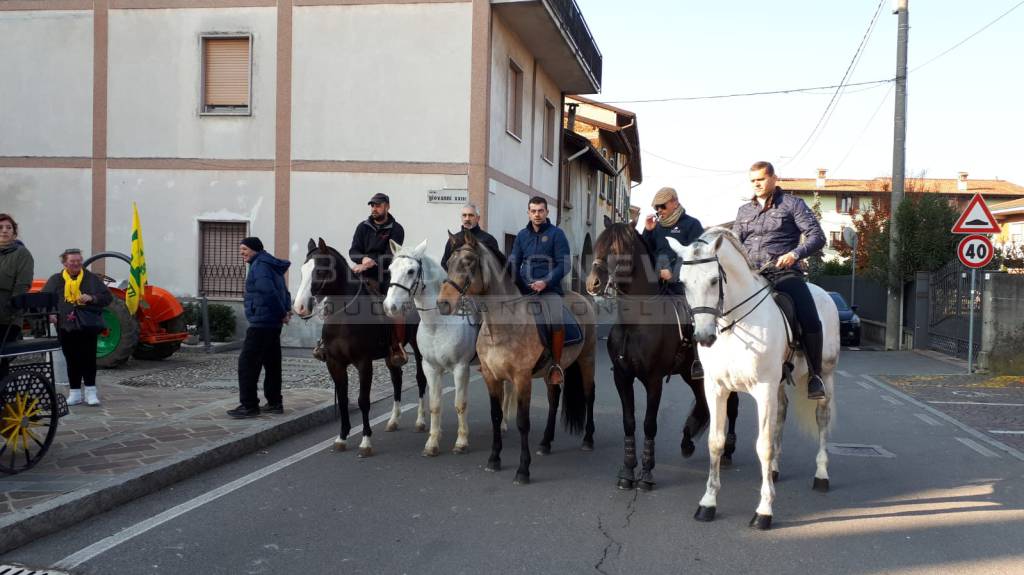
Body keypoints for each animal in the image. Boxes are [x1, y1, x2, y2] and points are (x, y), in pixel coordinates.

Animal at [382, 239, 481, 454]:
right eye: (390, 269)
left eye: (411, 271)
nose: (390, 307)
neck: (439, 323)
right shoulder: (430, 367)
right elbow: (435, 404)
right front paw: (432, 443)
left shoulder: (460, 368)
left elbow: (460, 404)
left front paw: (461, 442)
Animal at [667, 228, 835, 527]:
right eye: (683, 283)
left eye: (714, 280)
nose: (704, 337)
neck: (735, 325)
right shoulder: (716, 389)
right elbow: (716, 442)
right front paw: (708, 503)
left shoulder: (763, 389)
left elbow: (763, 445)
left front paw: (764, 510)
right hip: (780, 385)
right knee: (781, 415)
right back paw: (775, 470)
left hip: (825, 376)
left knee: (822, 420)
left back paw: (821, 475)